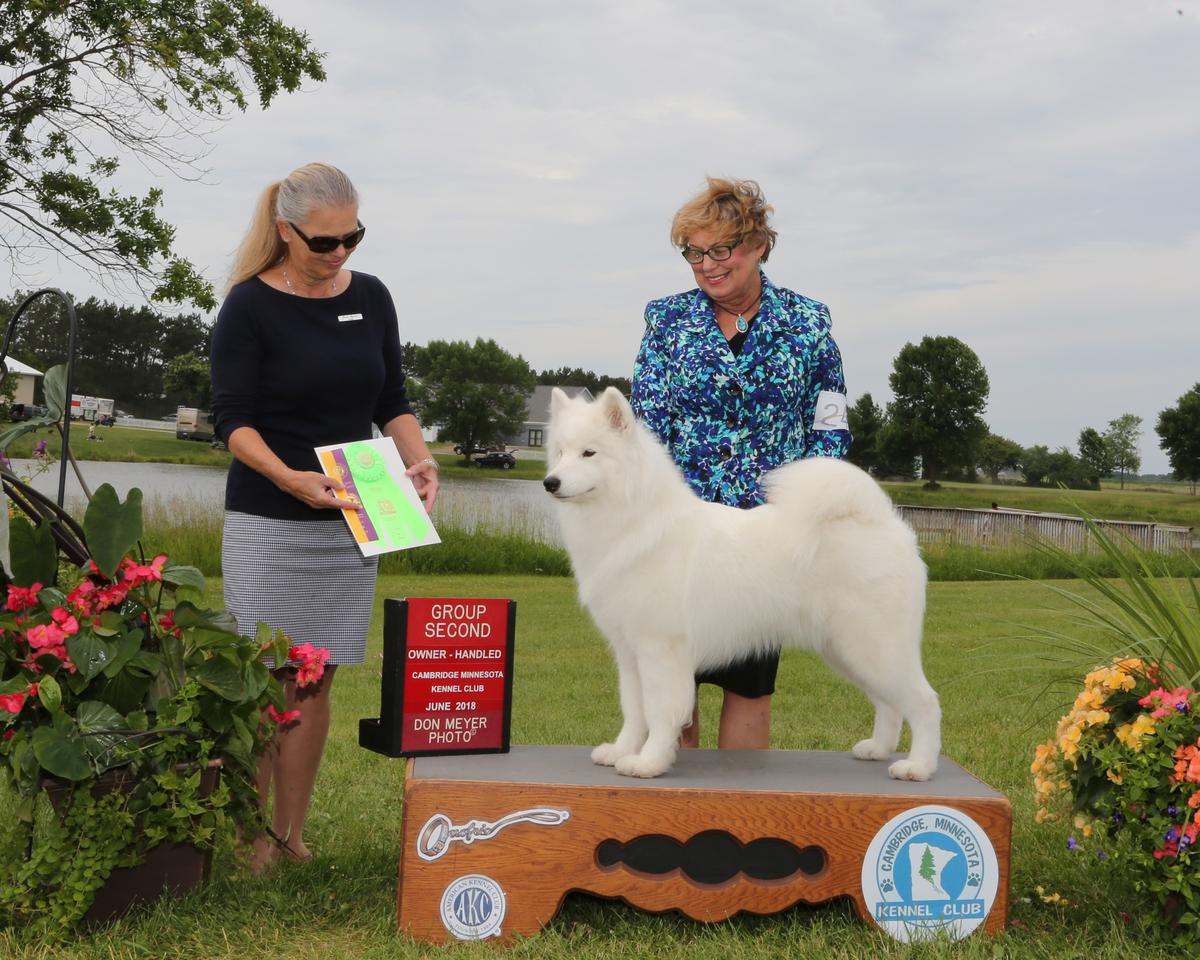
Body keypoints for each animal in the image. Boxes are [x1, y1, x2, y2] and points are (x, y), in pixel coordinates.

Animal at [540, 388, 940, 777]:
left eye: (589, 452)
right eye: (560, 453)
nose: (550, 482)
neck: (634, 522)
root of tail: (884, 521)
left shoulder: (659, 650)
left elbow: (658, 711)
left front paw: (648, 763)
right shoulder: (629, 652)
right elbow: (634, 710)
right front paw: (621, 751)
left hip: (874, 646)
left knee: (924, 702)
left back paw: (917, 766)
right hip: (847, 651)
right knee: (889, 704)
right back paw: (878, 749)